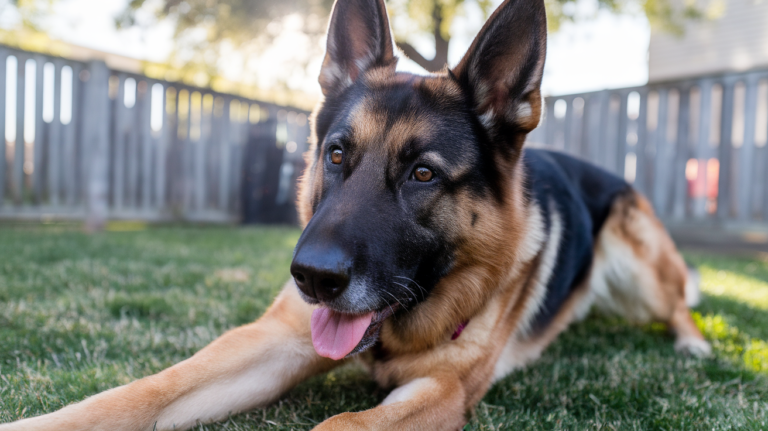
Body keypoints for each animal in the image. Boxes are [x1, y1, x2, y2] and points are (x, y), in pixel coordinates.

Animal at [0, 0, 711, 429]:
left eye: (423, 174)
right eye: (337, 154)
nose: (312, 277)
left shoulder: (441, 392)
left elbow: (340, 422)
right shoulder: (274, 339)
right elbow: (144, 390)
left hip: (639, 264)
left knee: (679, 303)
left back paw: (695, 342)